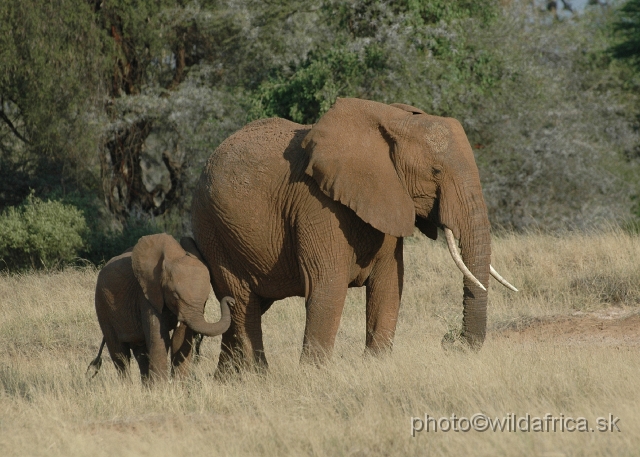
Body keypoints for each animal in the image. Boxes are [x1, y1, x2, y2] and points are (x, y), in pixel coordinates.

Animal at [87, 233, 232, 382]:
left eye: (206, 299)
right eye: (175, 295)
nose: (230, 301)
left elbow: (179, 339)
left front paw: (179, 385)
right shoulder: (147, 293)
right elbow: (159, 338)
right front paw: (161, 387)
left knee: (141, 352)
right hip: (102, 304)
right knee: (119, 353)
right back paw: (126, 385)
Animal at [191, 98, 516, 368]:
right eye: (435, 171)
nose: (451, 340)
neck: (393, 121)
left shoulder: (389, 199)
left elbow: (390, 286)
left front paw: (375, 367)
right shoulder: (317, 205)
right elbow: (327, 286)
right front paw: (315, 377)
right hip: (214, 230)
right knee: (242, 303)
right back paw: (256, 377)